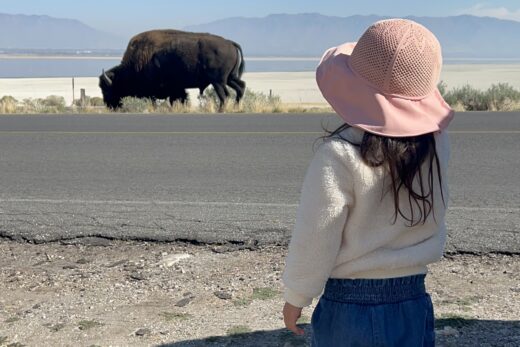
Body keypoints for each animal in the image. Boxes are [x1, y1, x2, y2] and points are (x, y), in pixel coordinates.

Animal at [99, 30, 246, 111]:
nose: (108, 105)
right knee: (240, 87)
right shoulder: (176, 89)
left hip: (218, 82)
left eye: (107, 88)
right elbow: (178, 99)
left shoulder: (161, 90)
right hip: (230, 78)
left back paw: (221, 110)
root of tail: (229, 43)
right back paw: (236, 107)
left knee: (225, 95)